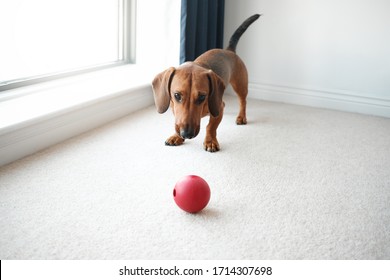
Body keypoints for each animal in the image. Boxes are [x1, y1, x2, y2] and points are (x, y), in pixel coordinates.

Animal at [154, 14, 260, 152]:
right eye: (177, 95)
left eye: (202, 97)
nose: (187, 134)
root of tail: (229, 50)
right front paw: (176, 136)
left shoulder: (216, 109)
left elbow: (211, 126)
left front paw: (210, 141)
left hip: (240, 85)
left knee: (243, 102)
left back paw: (241, 117)